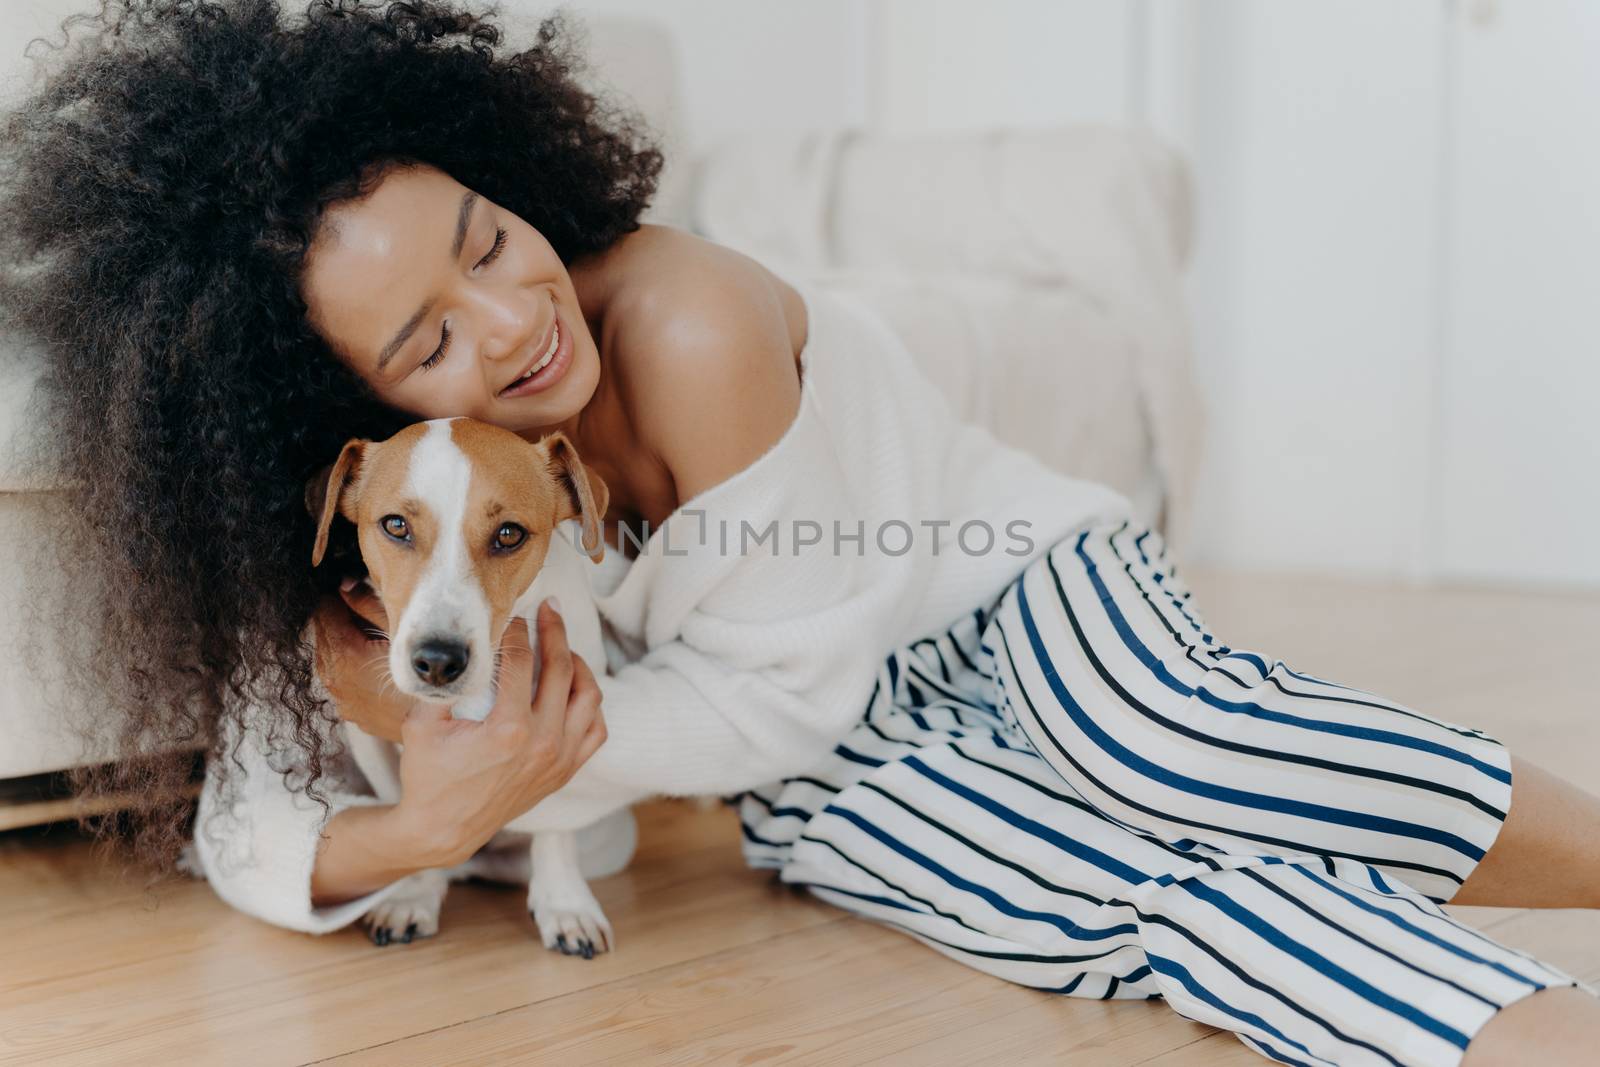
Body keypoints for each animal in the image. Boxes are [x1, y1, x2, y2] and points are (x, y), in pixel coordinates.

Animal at [305, 415, 624, 959]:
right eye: (396, 525)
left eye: (509, 534)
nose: (438, 661)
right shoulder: (370, 742)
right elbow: (416, 820)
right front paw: (414, 893)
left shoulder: (566, 717)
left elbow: (555, 823)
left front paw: (565, 904)